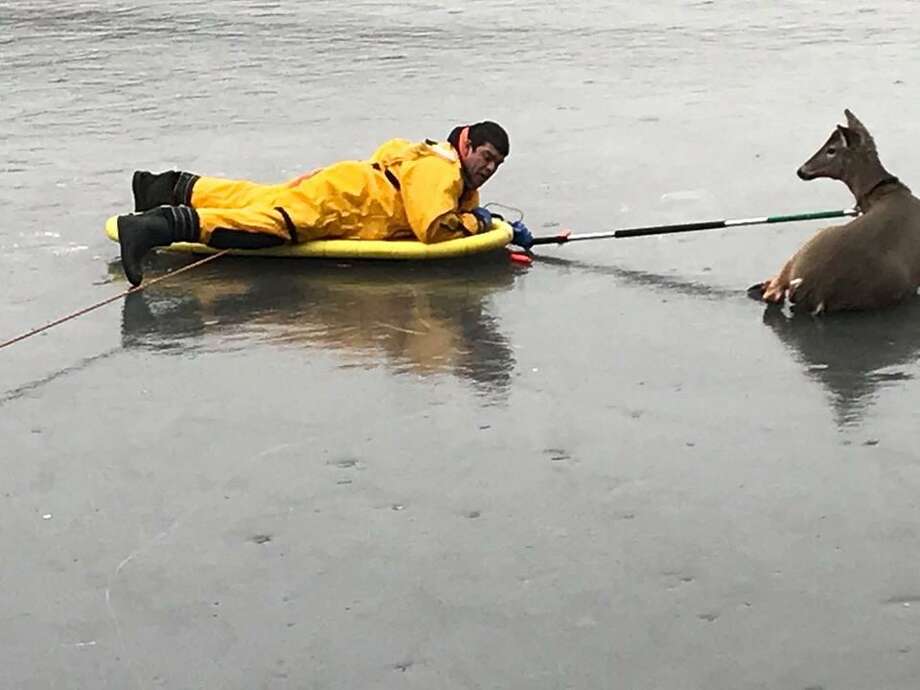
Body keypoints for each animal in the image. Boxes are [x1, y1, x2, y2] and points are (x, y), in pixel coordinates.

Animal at [751, 109, 920, 314]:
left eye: (831, 149)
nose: (801, 170)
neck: (882, 194)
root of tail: (815, 291)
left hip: (813, 241)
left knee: (774, 292)